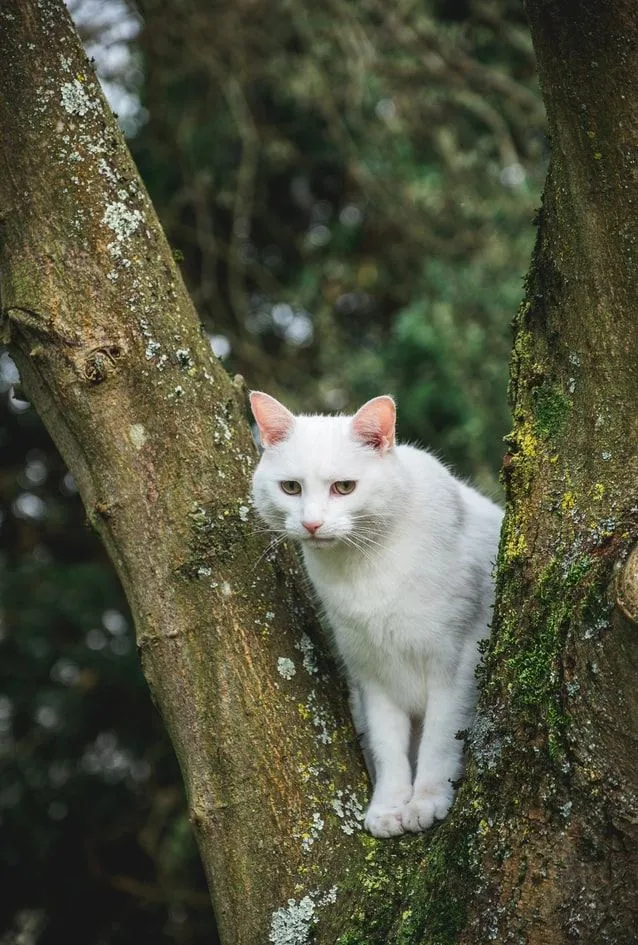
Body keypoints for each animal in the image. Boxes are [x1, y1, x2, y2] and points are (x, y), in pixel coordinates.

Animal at [250, 394, 504, 836]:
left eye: (344, 487)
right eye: (291, 488)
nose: (312, 523)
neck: (364, 567)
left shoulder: (457, 659)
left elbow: (440, 737)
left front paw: (425, 801)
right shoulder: (369, 673)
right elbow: (387, 747)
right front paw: (388, 809)